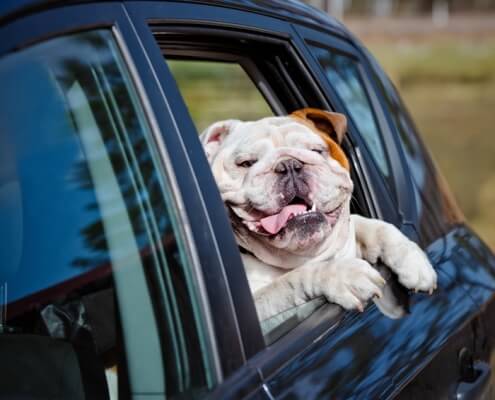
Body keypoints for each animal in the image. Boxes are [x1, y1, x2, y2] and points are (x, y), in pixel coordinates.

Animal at [202, 108, 438, 320]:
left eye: (316, 151)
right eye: (246, 163)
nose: (289, 165)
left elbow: (374, 226)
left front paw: (412, 260)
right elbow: (288, 282)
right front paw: (344, 276)